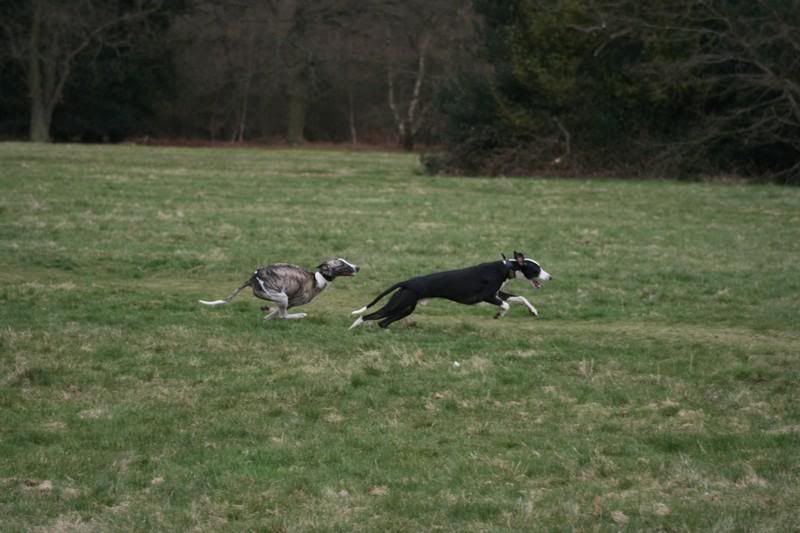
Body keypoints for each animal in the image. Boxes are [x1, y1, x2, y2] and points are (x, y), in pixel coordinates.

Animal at [350, 250, 552, 328]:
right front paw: (498, 314)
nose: (550, 277)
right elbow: (507, 305)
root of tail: (408, 282)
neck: (505, 267)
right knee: (367, 316)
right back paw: (354, 327)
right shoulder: (486, 296)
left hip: (405, 308)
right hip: (398, 305)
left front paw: (533, 311)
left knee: (382, 322)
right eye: (537, 269)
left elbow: (521, 298)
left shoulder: (498, 294)